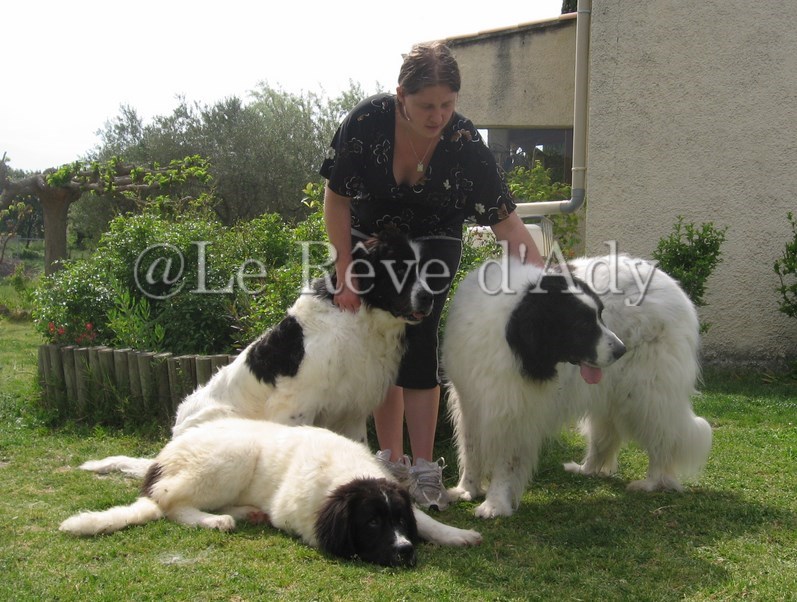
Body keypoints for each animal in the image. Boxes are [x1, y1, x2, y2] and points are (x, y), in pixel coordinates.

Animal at [60, 418, 481, 567]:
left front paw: (457, 535)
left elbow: (424, 519)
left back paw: (246, 513)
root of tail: (160, 461)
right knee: (168, 502)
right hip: (233, 456)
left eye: (396, 520)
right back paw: (215, 521)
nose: (405, 551)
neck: (346, 474)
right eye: (372, 523)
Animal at [81, 229, 433, 479]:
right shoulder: (294, 407)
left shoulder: (353, 409)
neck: (362, 318)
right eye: (399, 266)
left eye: (424, 268)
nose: (429, 297)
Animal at [443, 256, 712, 518]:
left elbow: (506, 462)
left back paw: (653, 482)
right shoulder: (470, 401)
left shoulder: (517, 412)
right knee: (606, 434)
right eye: (582, 325)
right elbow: (471, 449)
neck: (510, 333)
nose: (621, 350)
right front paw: (467, 489)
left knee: (662, 436)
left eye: (601, 315)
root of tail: (672, 285)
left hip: (647, 392)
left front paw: (495, 503)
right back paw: (588, 469)